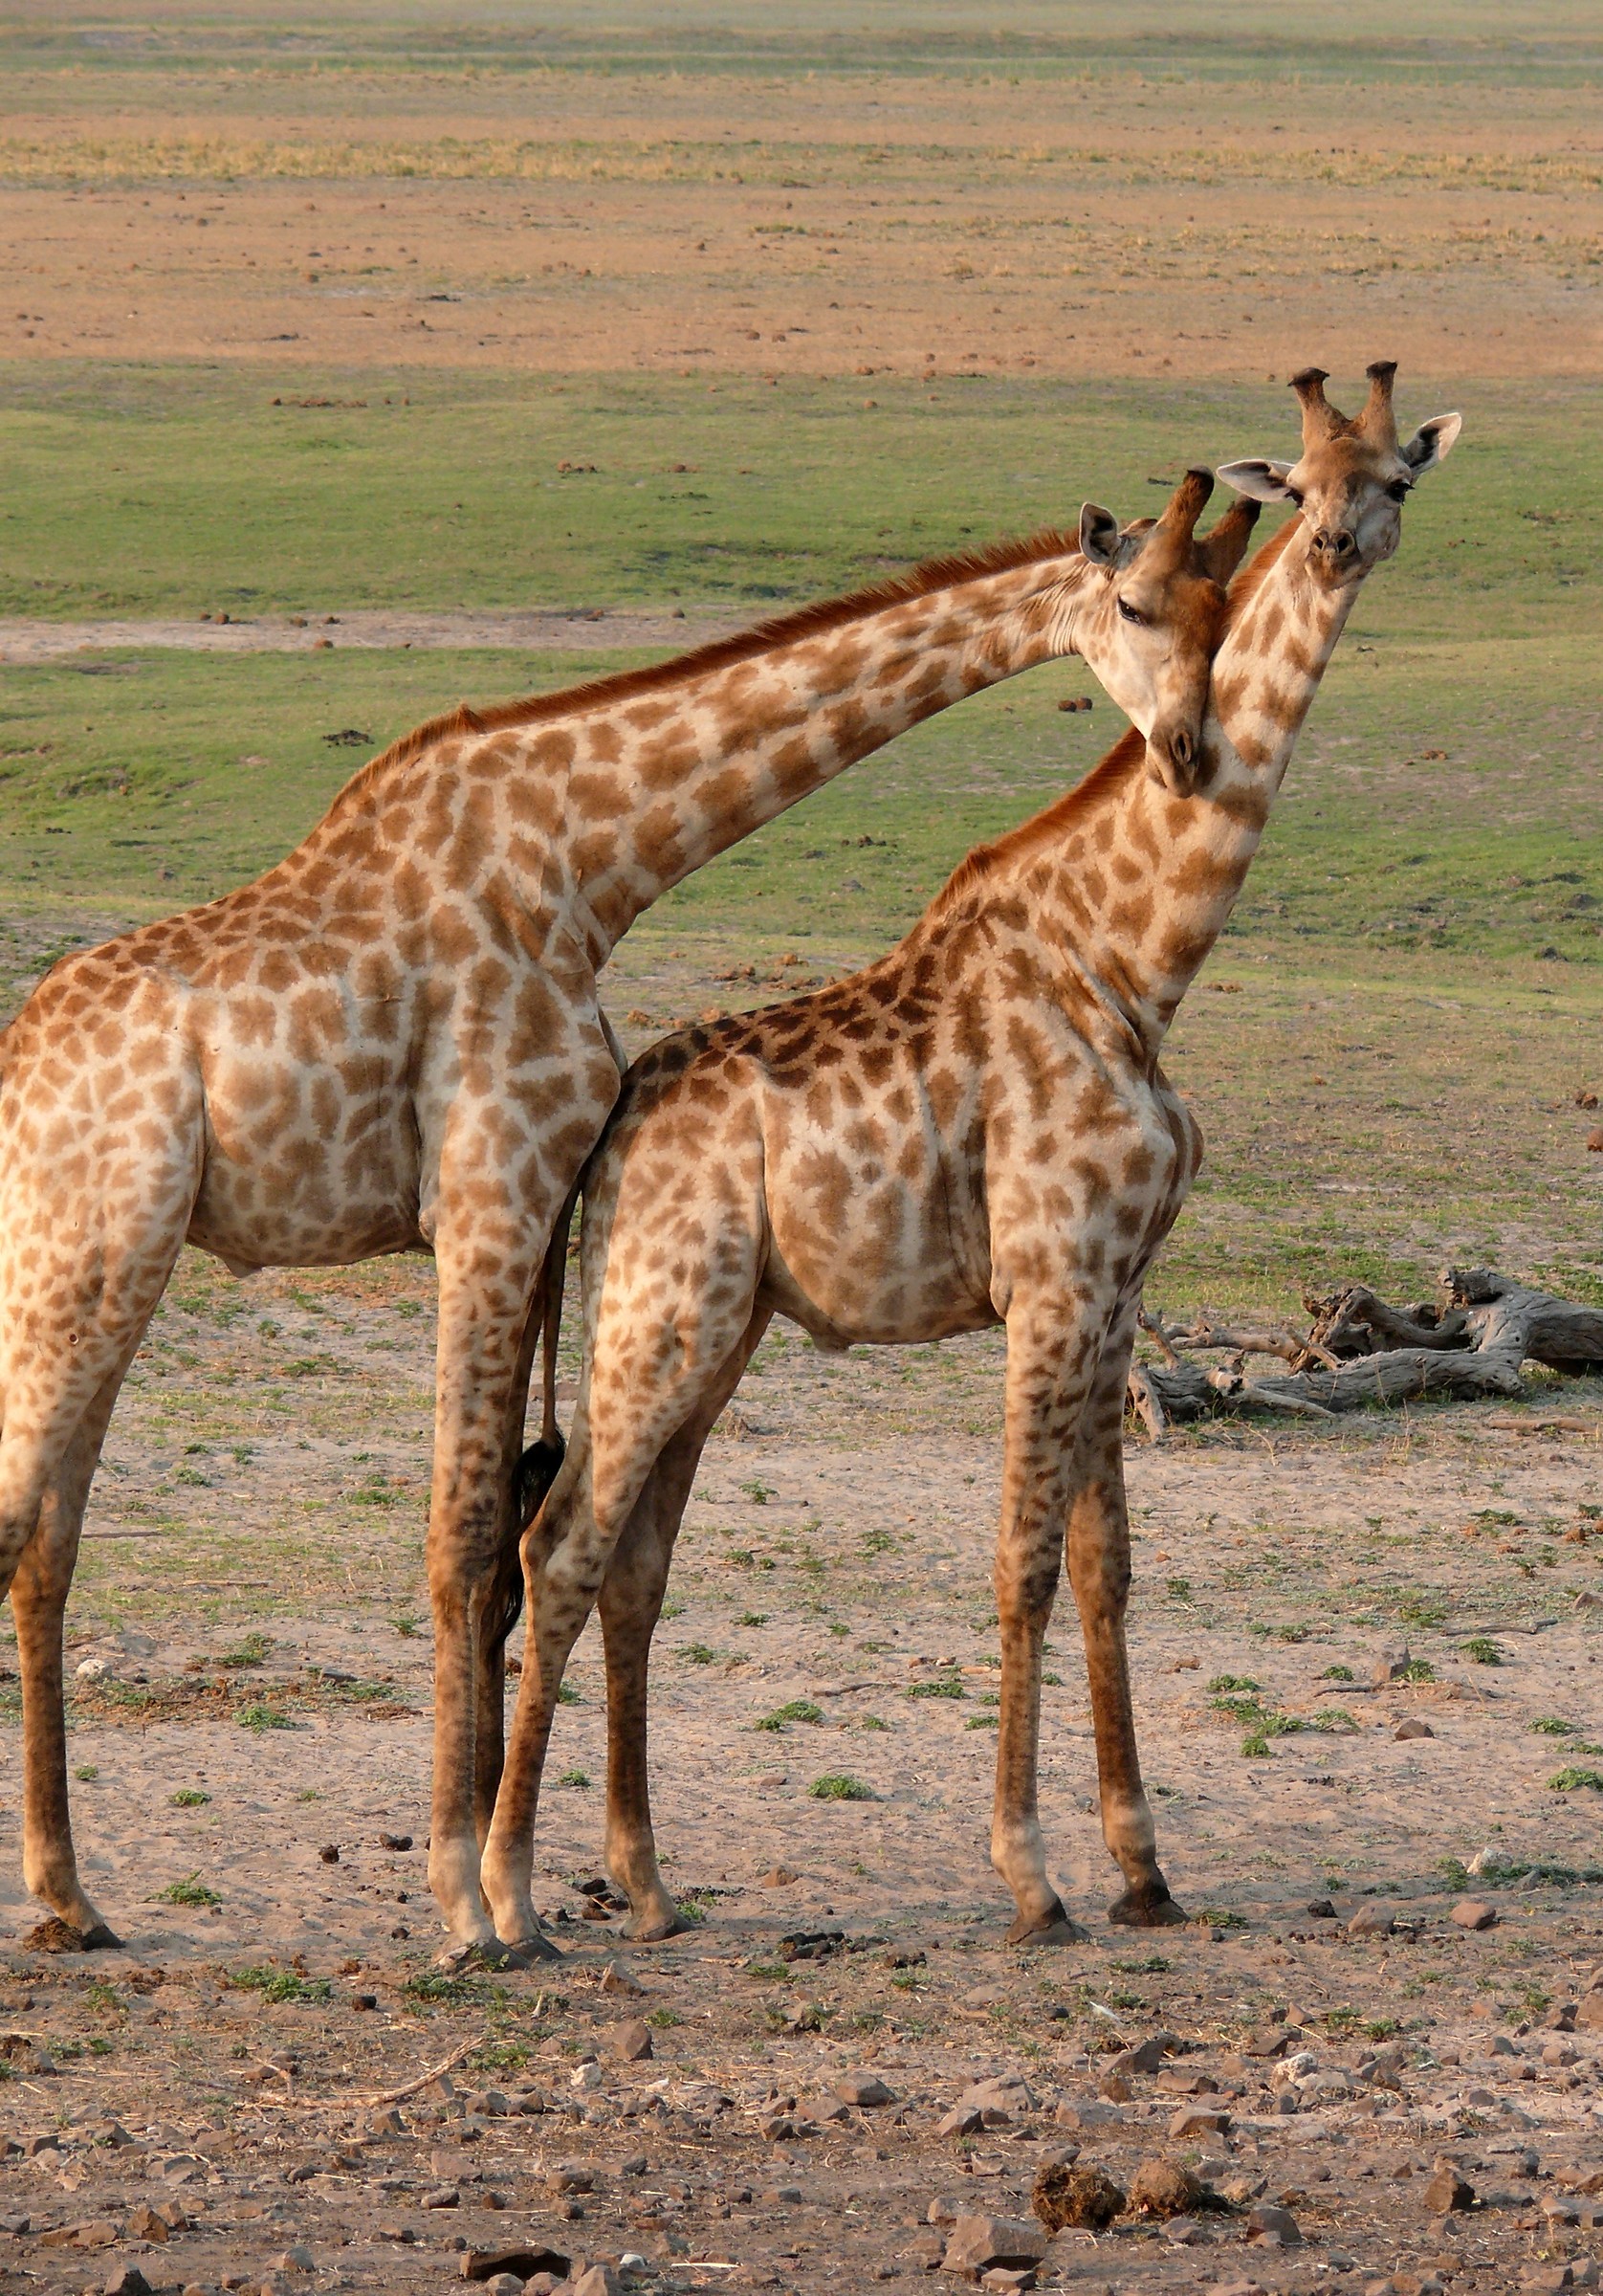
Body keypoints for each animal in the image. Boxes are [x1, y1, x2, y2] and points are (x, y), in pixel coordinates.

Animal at [0, 470, 1242, 1965]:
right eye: (1136, 604)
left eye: (1222, 612)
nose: (1186, 750)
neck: (594, 865)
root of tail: (13, 1068)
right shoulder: (491, 1189)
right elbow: (465, 1539)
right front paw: (467, 1899)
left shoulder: (537, 1214)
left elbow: (503, 1540)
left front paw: (504, 1874)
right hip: (100, 1248)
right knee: (25, 1520)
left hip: (69, 1258)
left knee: (50, 1536)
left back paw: (73, 1899)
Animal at [481, 364, 1461, 1952]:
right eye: (1307, 481)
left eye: (1395, 478)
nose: (1336, 544)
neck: (1134, 963)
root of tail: (606, 1133)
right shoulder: (1049, 1283)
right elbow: (1021, 1566)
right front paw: (1031, 1878)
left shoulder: (1117, 1291)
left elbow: (1109, 1569)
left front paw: (1146, 1873)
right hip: (660, 1316)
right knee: (560, 1544)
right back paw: (508, 1896)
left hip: (719, 1327)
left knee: (633, 1565)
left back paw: (648, 1883)